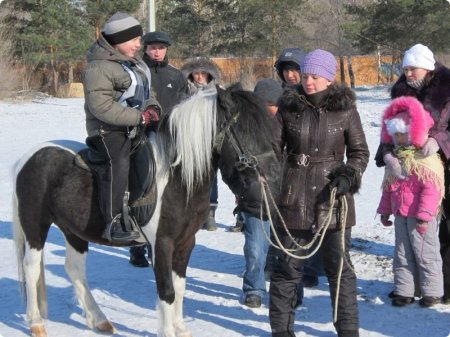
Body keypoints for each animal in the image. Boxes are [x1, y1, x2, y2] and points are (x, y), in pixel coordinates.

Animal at [12, 84, 280, 336]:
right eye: (246, 130)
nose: (270, 180)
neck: (178, 178)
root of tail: (27, 158)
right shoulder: (161, 242)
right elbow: (167, 291)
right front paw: (168, 331)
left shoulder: (186, 241)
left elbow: (179, 287)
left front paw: (180, 328)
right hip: (35, 225)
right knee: (31, 267)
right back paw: (36, 323)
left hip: (74, 230)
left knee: (75, 269)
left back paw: (99, 320)